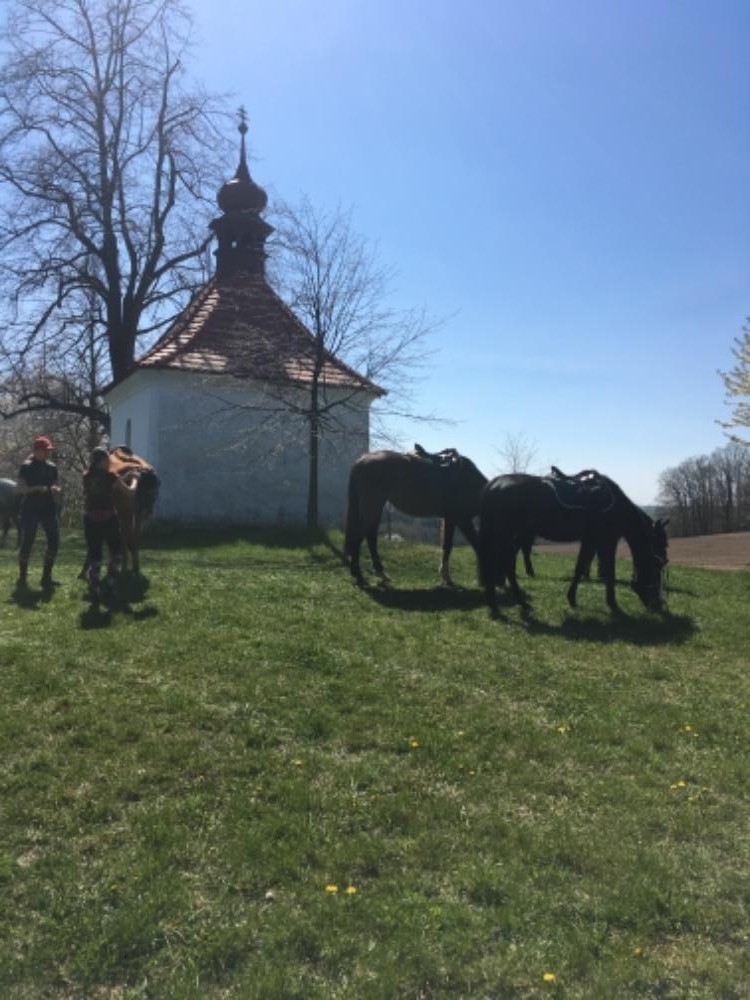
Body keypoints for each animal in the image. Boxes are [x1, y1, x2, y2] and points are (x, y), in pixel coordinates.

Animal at [344, 446, 536, 584]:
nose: (502, 582)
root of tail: (361, 460)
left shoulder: (451, 519)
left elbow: (448, 546)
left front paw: (445, 576)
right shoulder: (461, 519)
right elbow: (461, 545)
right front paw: (448, 577)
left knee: (369, 536)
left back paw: (378, 573)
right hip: (373, 505)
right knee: (362, 535)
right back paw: (360, 574)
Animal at [478, 470, 668, 616]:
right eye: (656, 572)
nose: (659, 604)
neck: (617, 506)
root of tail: (493, 484)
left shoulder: (590, 540)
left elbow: (580, 568)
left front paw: (572, 599)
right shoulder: (607, 541)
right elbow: (609, 572)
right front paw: (612, 603)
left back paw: (507, 604)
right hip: (510, 536)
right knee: (505, 564)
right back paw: (509, 604)